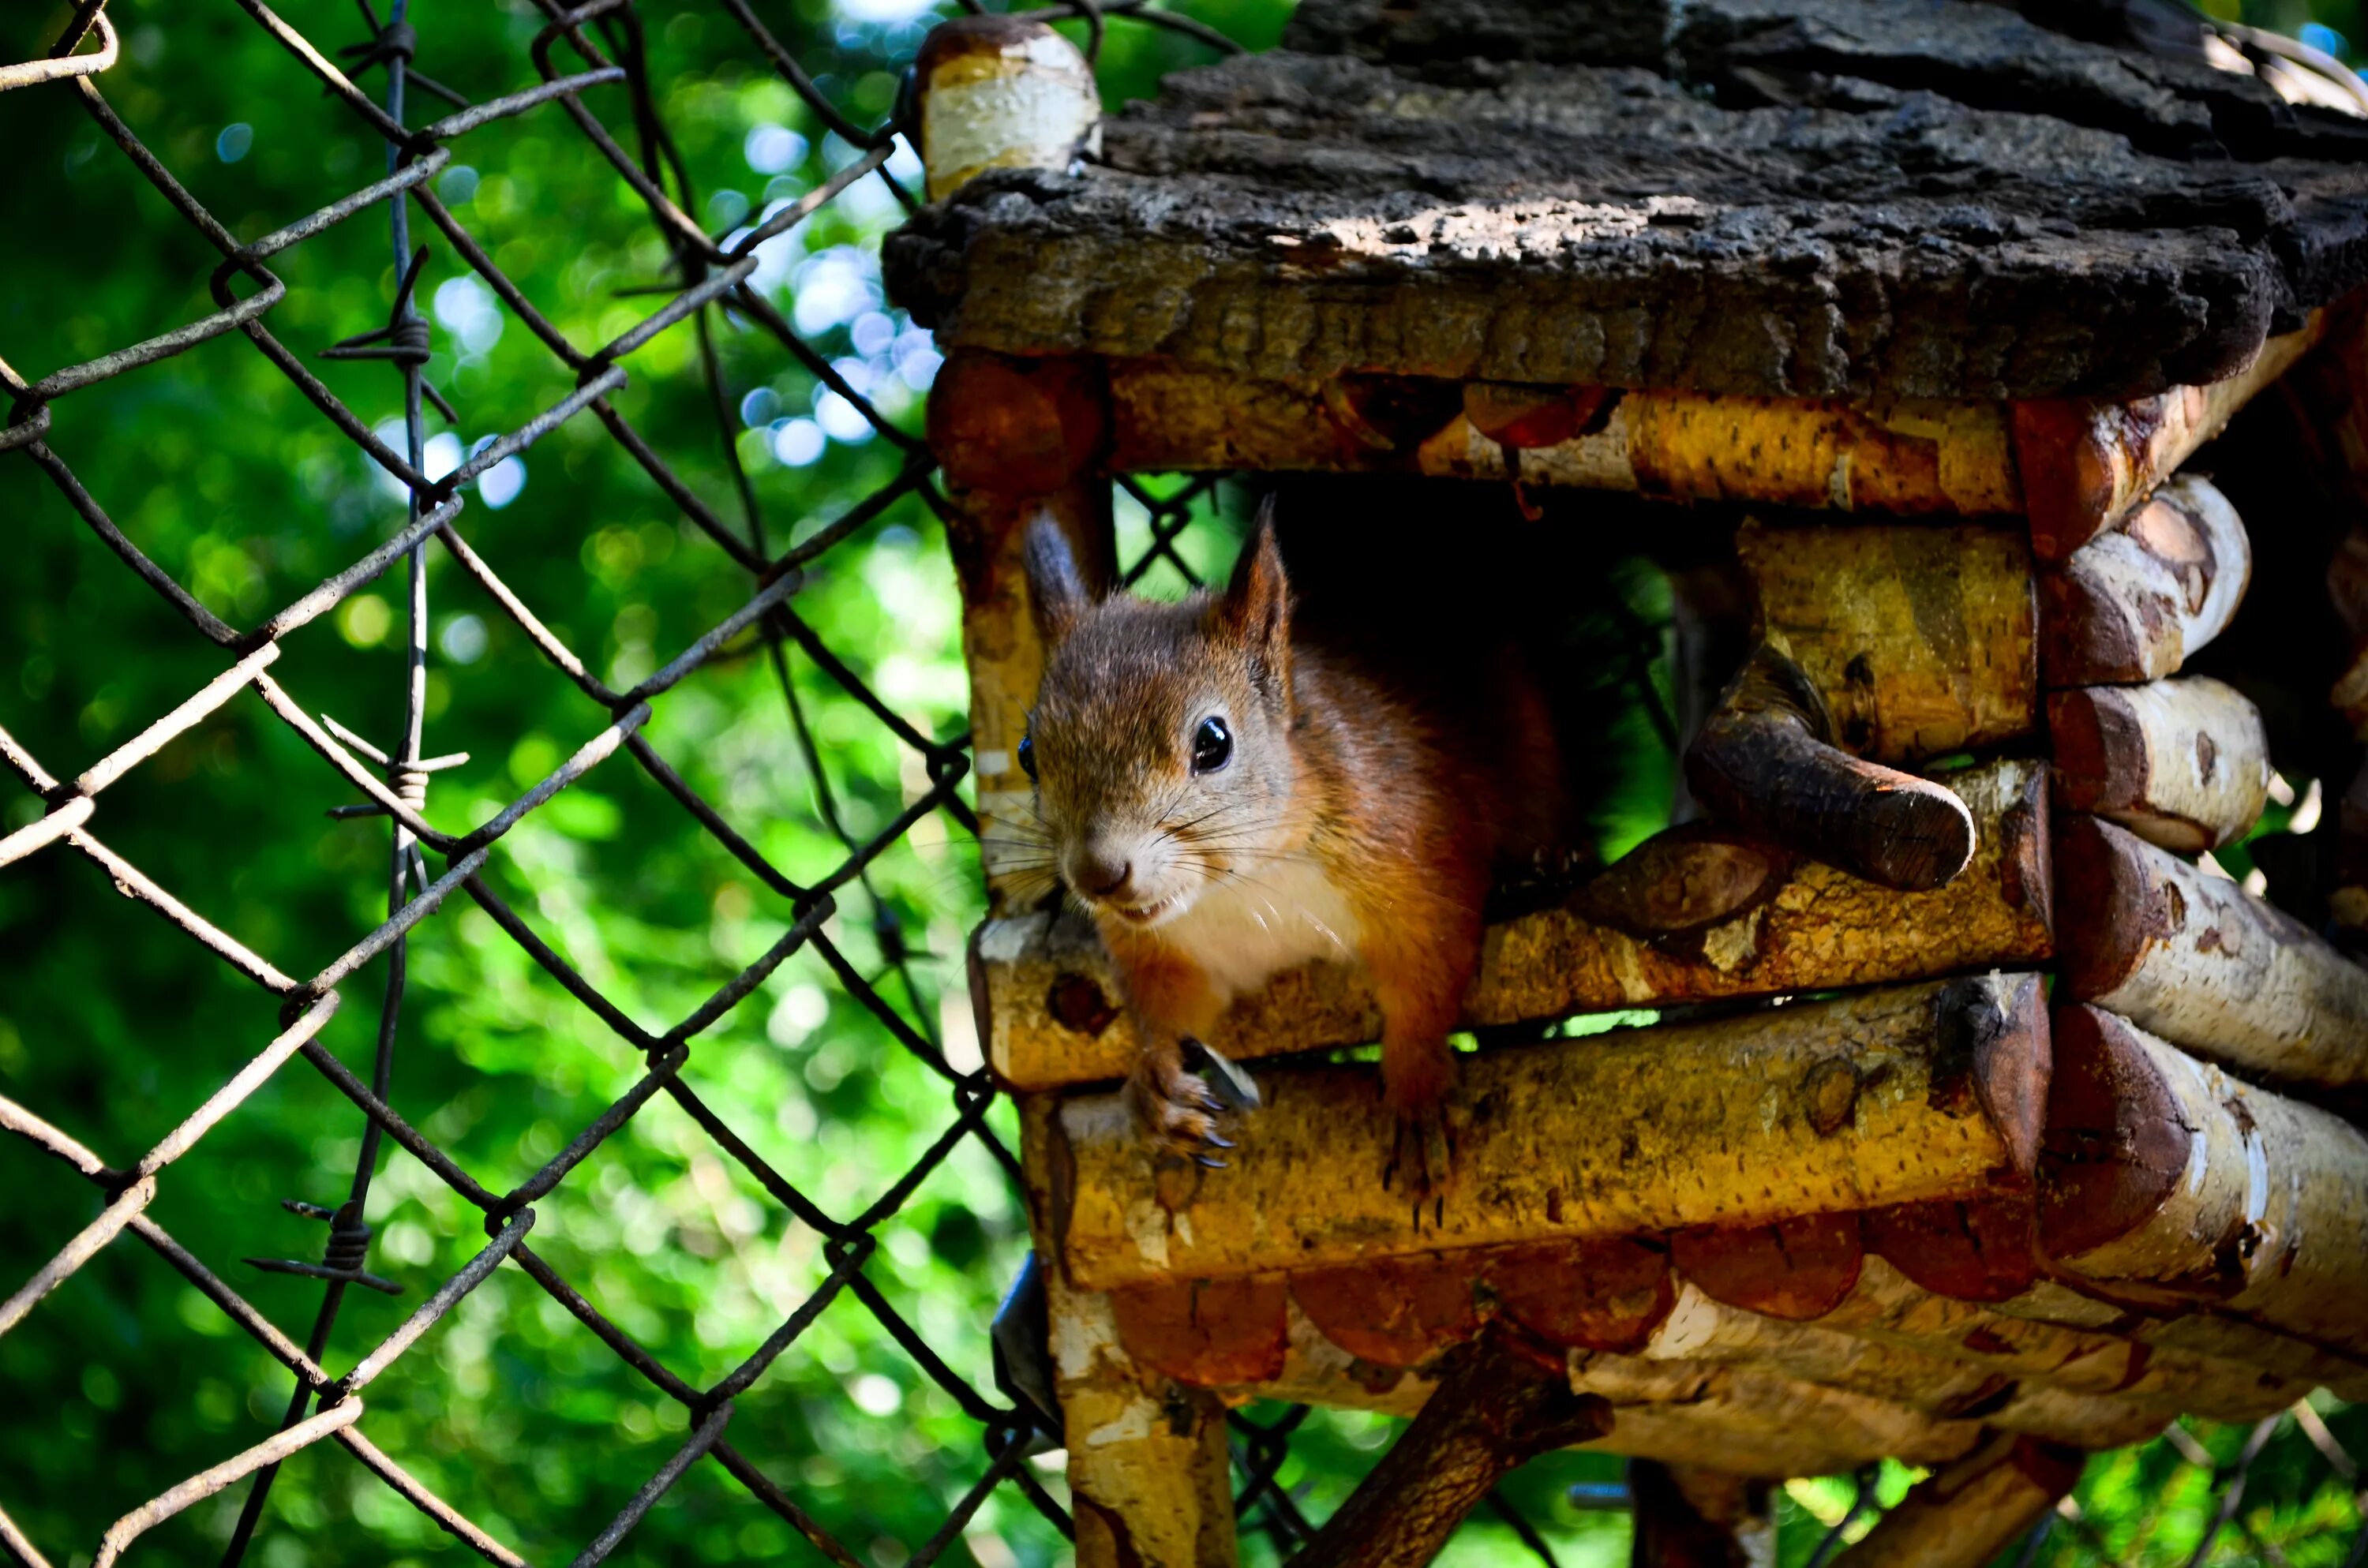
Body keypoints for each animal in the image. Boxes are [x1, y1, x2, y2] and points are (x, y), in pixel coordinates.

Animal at [1018, 504, 1572, 1203]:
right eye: (1027, 754)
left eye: (1214, 742)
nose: (1099, 874)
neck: (1244, 882)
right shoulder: (1168, 950)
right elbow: (1168, 1011)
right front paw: (1156, 1088)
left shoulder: (1416, 854)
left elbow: (1427, 978)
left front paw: (1417, 1093)